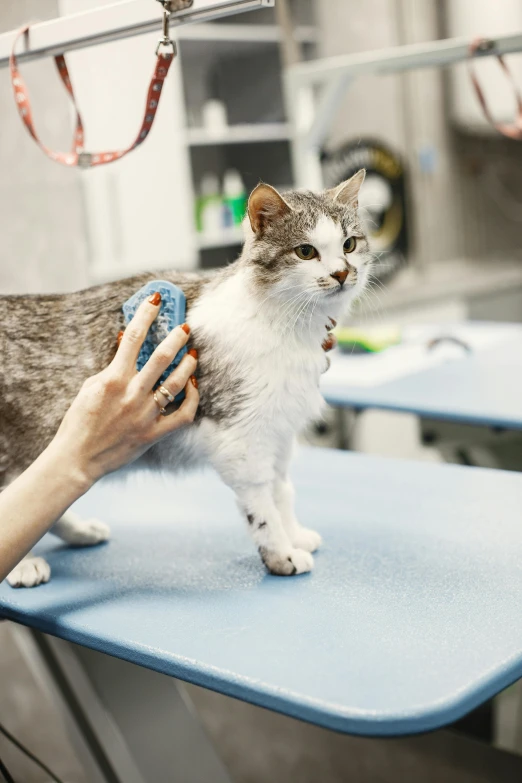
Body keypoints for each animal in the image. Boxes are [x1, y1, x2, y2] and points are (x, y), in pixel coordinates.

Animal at [2, 172, 370, 588]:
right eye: (306, 252)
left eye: (349, 244)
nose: (342, 273)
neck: (289, 327)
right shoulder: (240, 437)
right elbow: (262, 505)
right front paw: (281, 553)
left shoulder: (279, 431)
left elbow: (282, 491)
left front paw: (295, 534)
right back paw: (26, 564)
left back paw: (82, 532)